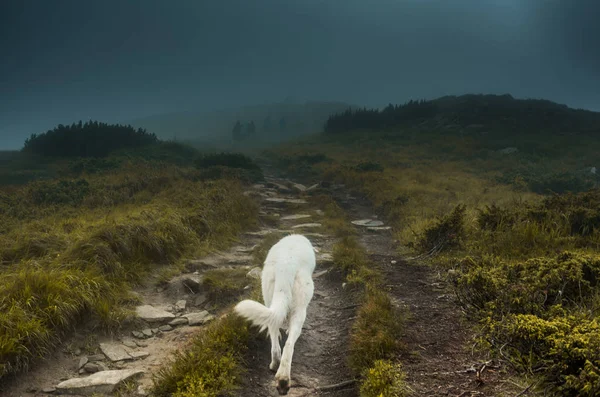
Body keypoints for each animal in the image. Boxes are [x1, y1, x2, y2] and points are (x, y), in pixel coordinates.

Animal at [234, 234, 318, 394]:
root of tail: (286, 266)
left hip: (268, 296)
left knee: (276, 340)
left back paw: (279, 372)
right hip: (300, 308)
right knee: (289, 343)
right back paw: (283, 378)